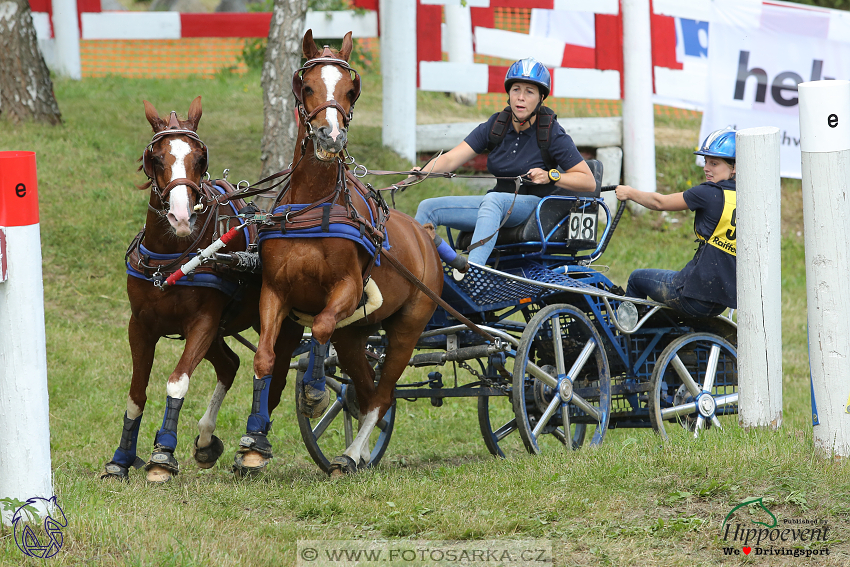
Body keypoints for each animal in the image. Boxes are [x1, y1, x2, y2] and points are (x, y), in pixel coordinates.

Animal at [101, 97, 286, 484]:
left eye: (200, 158)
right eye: (155, 157)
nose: (181, 217)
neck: (171, 257)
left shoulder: (202, 323)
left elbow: (177, 382)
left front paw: (162, 454)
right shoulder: (140, 325)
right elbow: (136, 393)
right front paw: (121, 458)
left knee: (275, 366)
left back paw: (256, 443)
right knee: (230, 364)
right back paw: (206, 440)